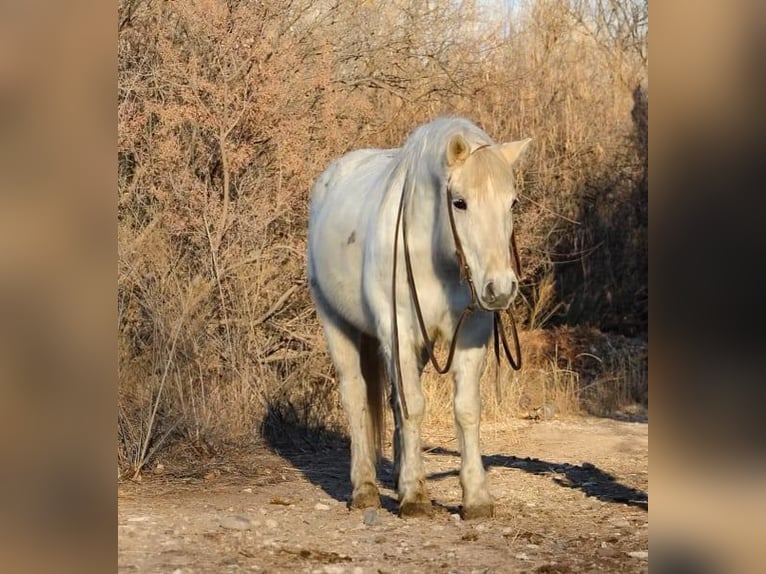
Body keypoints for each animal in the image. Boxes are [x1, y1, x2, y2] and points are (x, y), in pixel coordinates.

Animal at [307, 116, 531, 518]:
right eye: (460, 203)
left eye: (512, 202)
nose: (501, 288)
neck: (435, 254)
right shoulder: (399, 332)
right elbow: (413, 407)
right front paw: (414, 496)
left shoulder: (470, 333)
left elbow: (465, 409)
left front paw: (475, 496)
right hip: (335, 322)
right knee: (355, 396)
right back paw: (364, 488)